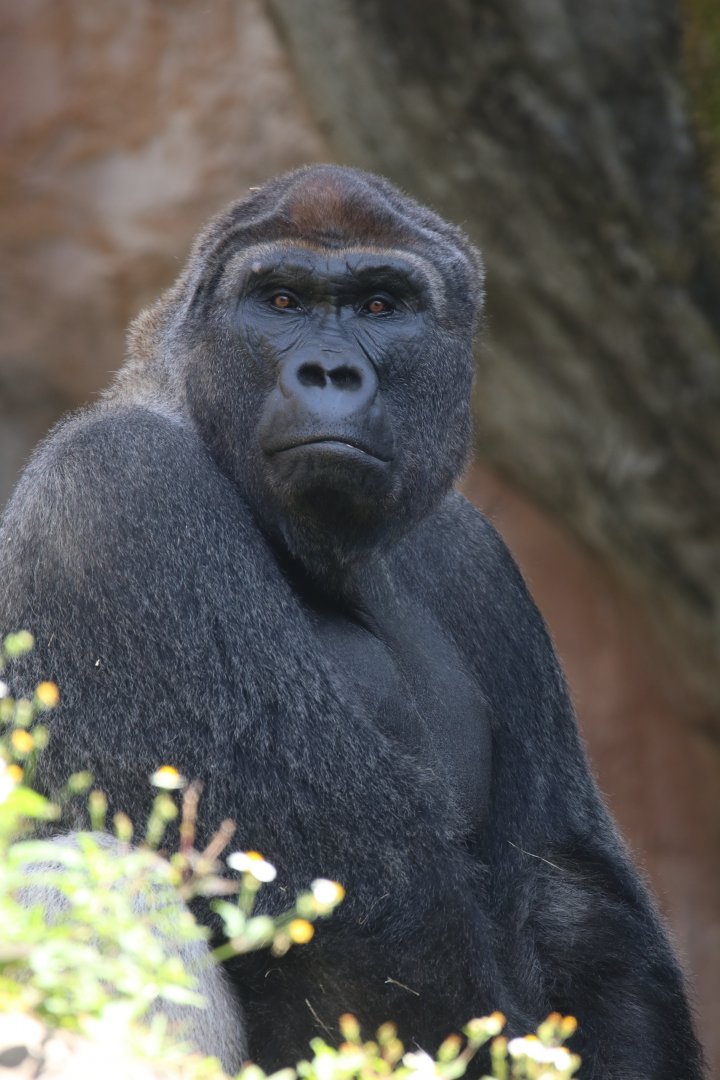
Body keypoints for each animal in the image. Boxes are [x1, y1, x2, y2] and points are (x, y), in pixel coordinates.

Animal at [0, 165, 703, 1077]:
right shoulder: (118, 492)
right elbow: (358, 926)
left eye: (379, 304)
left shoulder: (476, 555)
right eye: (281, 300)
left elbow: (573, 896)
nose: (328, 372)